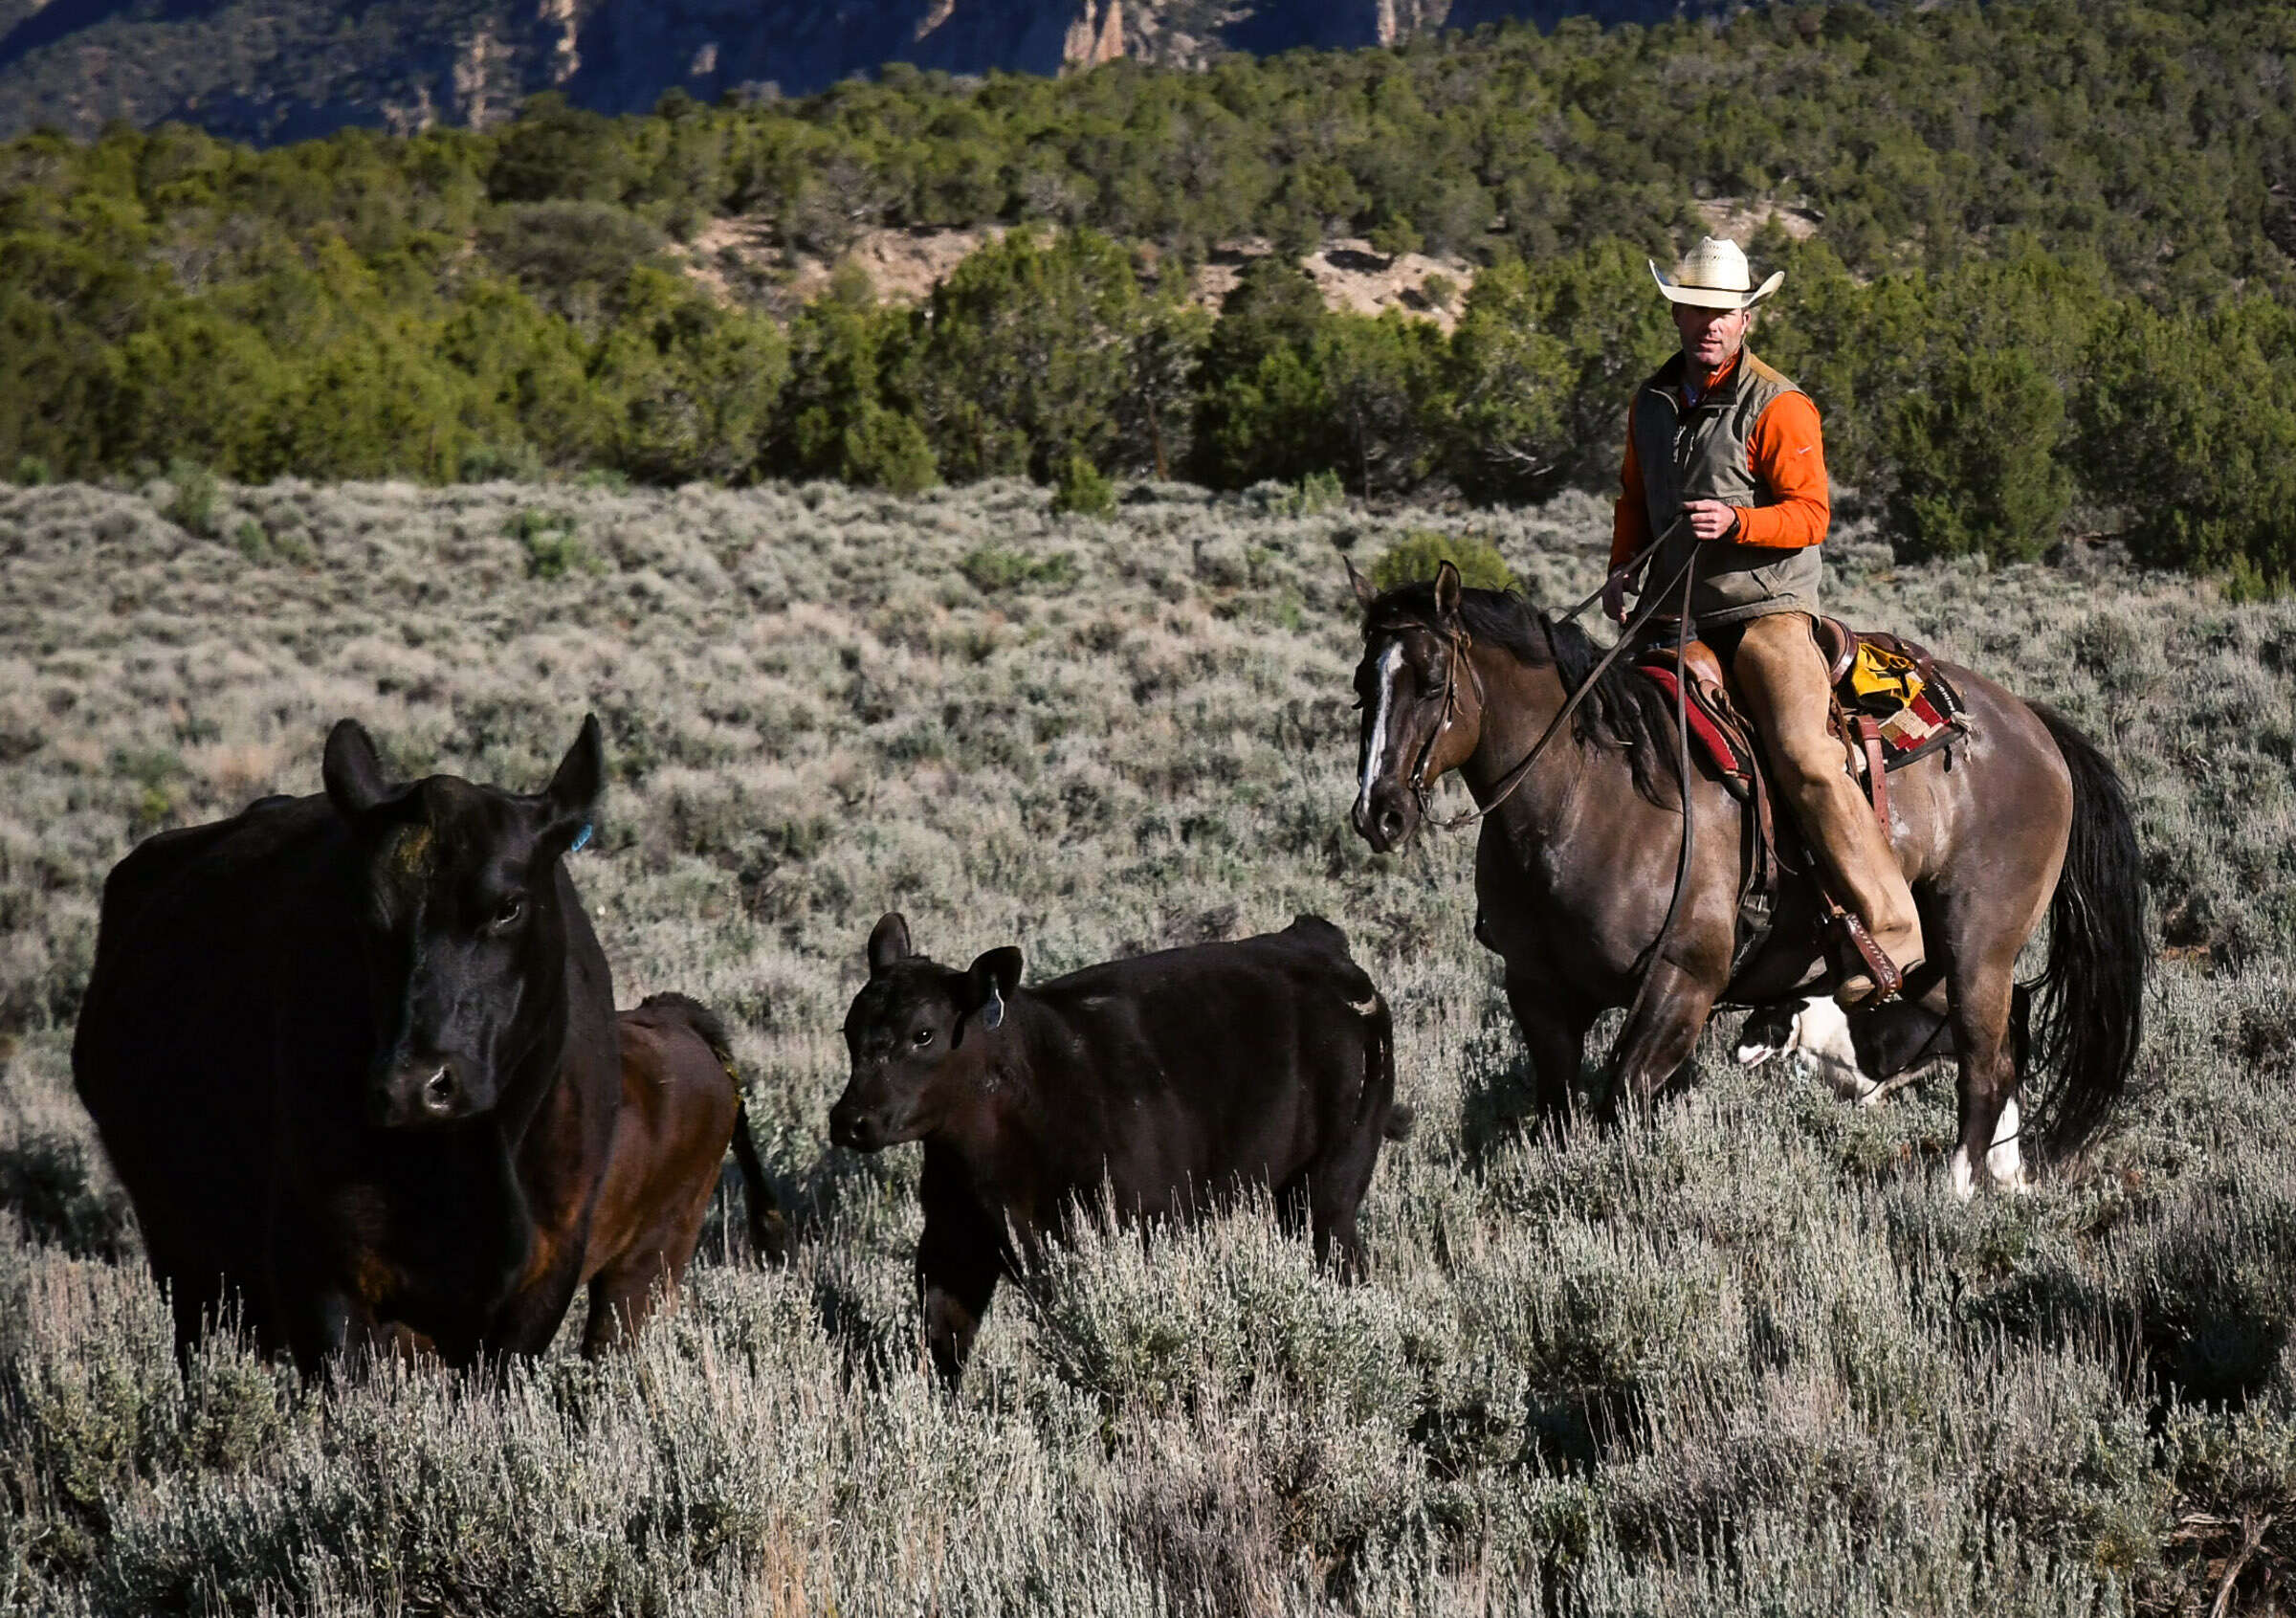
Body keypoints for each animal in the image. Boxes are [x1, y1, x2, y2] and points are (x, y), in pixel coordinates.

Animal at [73, 716, 624, 1372]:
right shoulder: (319, 1272)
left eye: (509, 907)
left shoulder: (544, 1281)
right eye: (365, 915)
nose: (411, 1086)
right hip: (183, 1252)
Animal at [830, 912, 1410, 1388]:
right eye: (849, 1031)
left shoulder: (1123, 1227)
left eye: (924, 1034)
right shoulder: (951, 1242)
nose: (849, 1121)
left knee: (1345, 1267)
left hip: (1331, 1183)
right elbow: (943, 1346)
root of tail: (1316, 940)